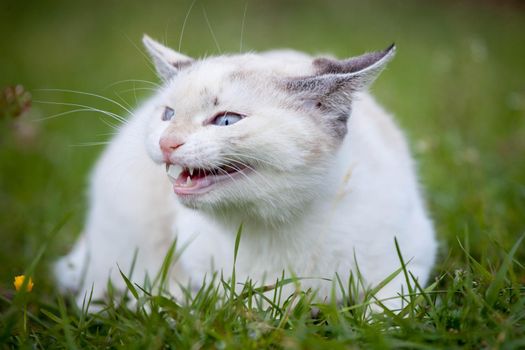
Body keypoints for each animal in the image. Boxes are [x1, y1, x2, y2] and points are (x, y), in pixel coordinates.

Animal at [54, 34, 438, 308]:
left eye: (226, 121)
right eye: (167, 114)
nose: (166, 142)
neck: (274, 228)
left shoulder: (410, 260)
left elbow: (387, 314)